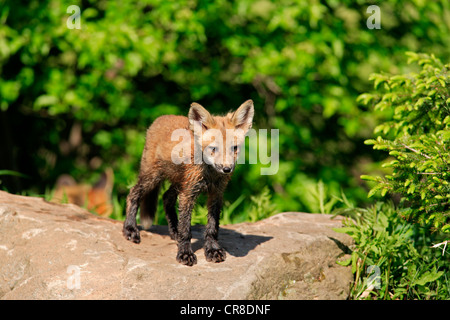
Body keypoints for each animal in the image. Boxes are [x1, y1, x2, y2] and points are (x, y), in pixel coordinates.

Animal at [123, 99, 255, 264]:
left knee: (166, 198)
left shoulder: (216, 194)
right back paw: (130, 228)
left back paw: (174, 231)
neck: (210, 175)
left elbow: (212, 228)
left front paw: (212, 249)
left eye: (234, 148)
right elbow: (186, 228)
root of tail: (160, 118)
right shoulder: (188, 194)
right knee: (133, 193)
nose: (227, 169)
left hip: (179, 182)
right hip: (153, 177)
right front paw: (185, 253)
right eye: (213, 148)